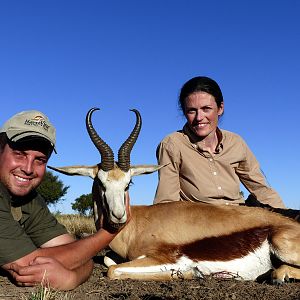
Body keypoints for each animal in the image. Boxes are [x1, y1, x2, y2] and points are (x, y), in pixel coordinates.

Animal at [50, 107, 300, 284]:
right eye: (100, 183)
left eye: (129, 183)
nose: (118, 216)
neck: (137, 225)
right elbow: (108, 259)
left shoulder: (164, 257)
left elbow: (112, 269)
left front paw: (192, 273)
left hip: (282, 244)